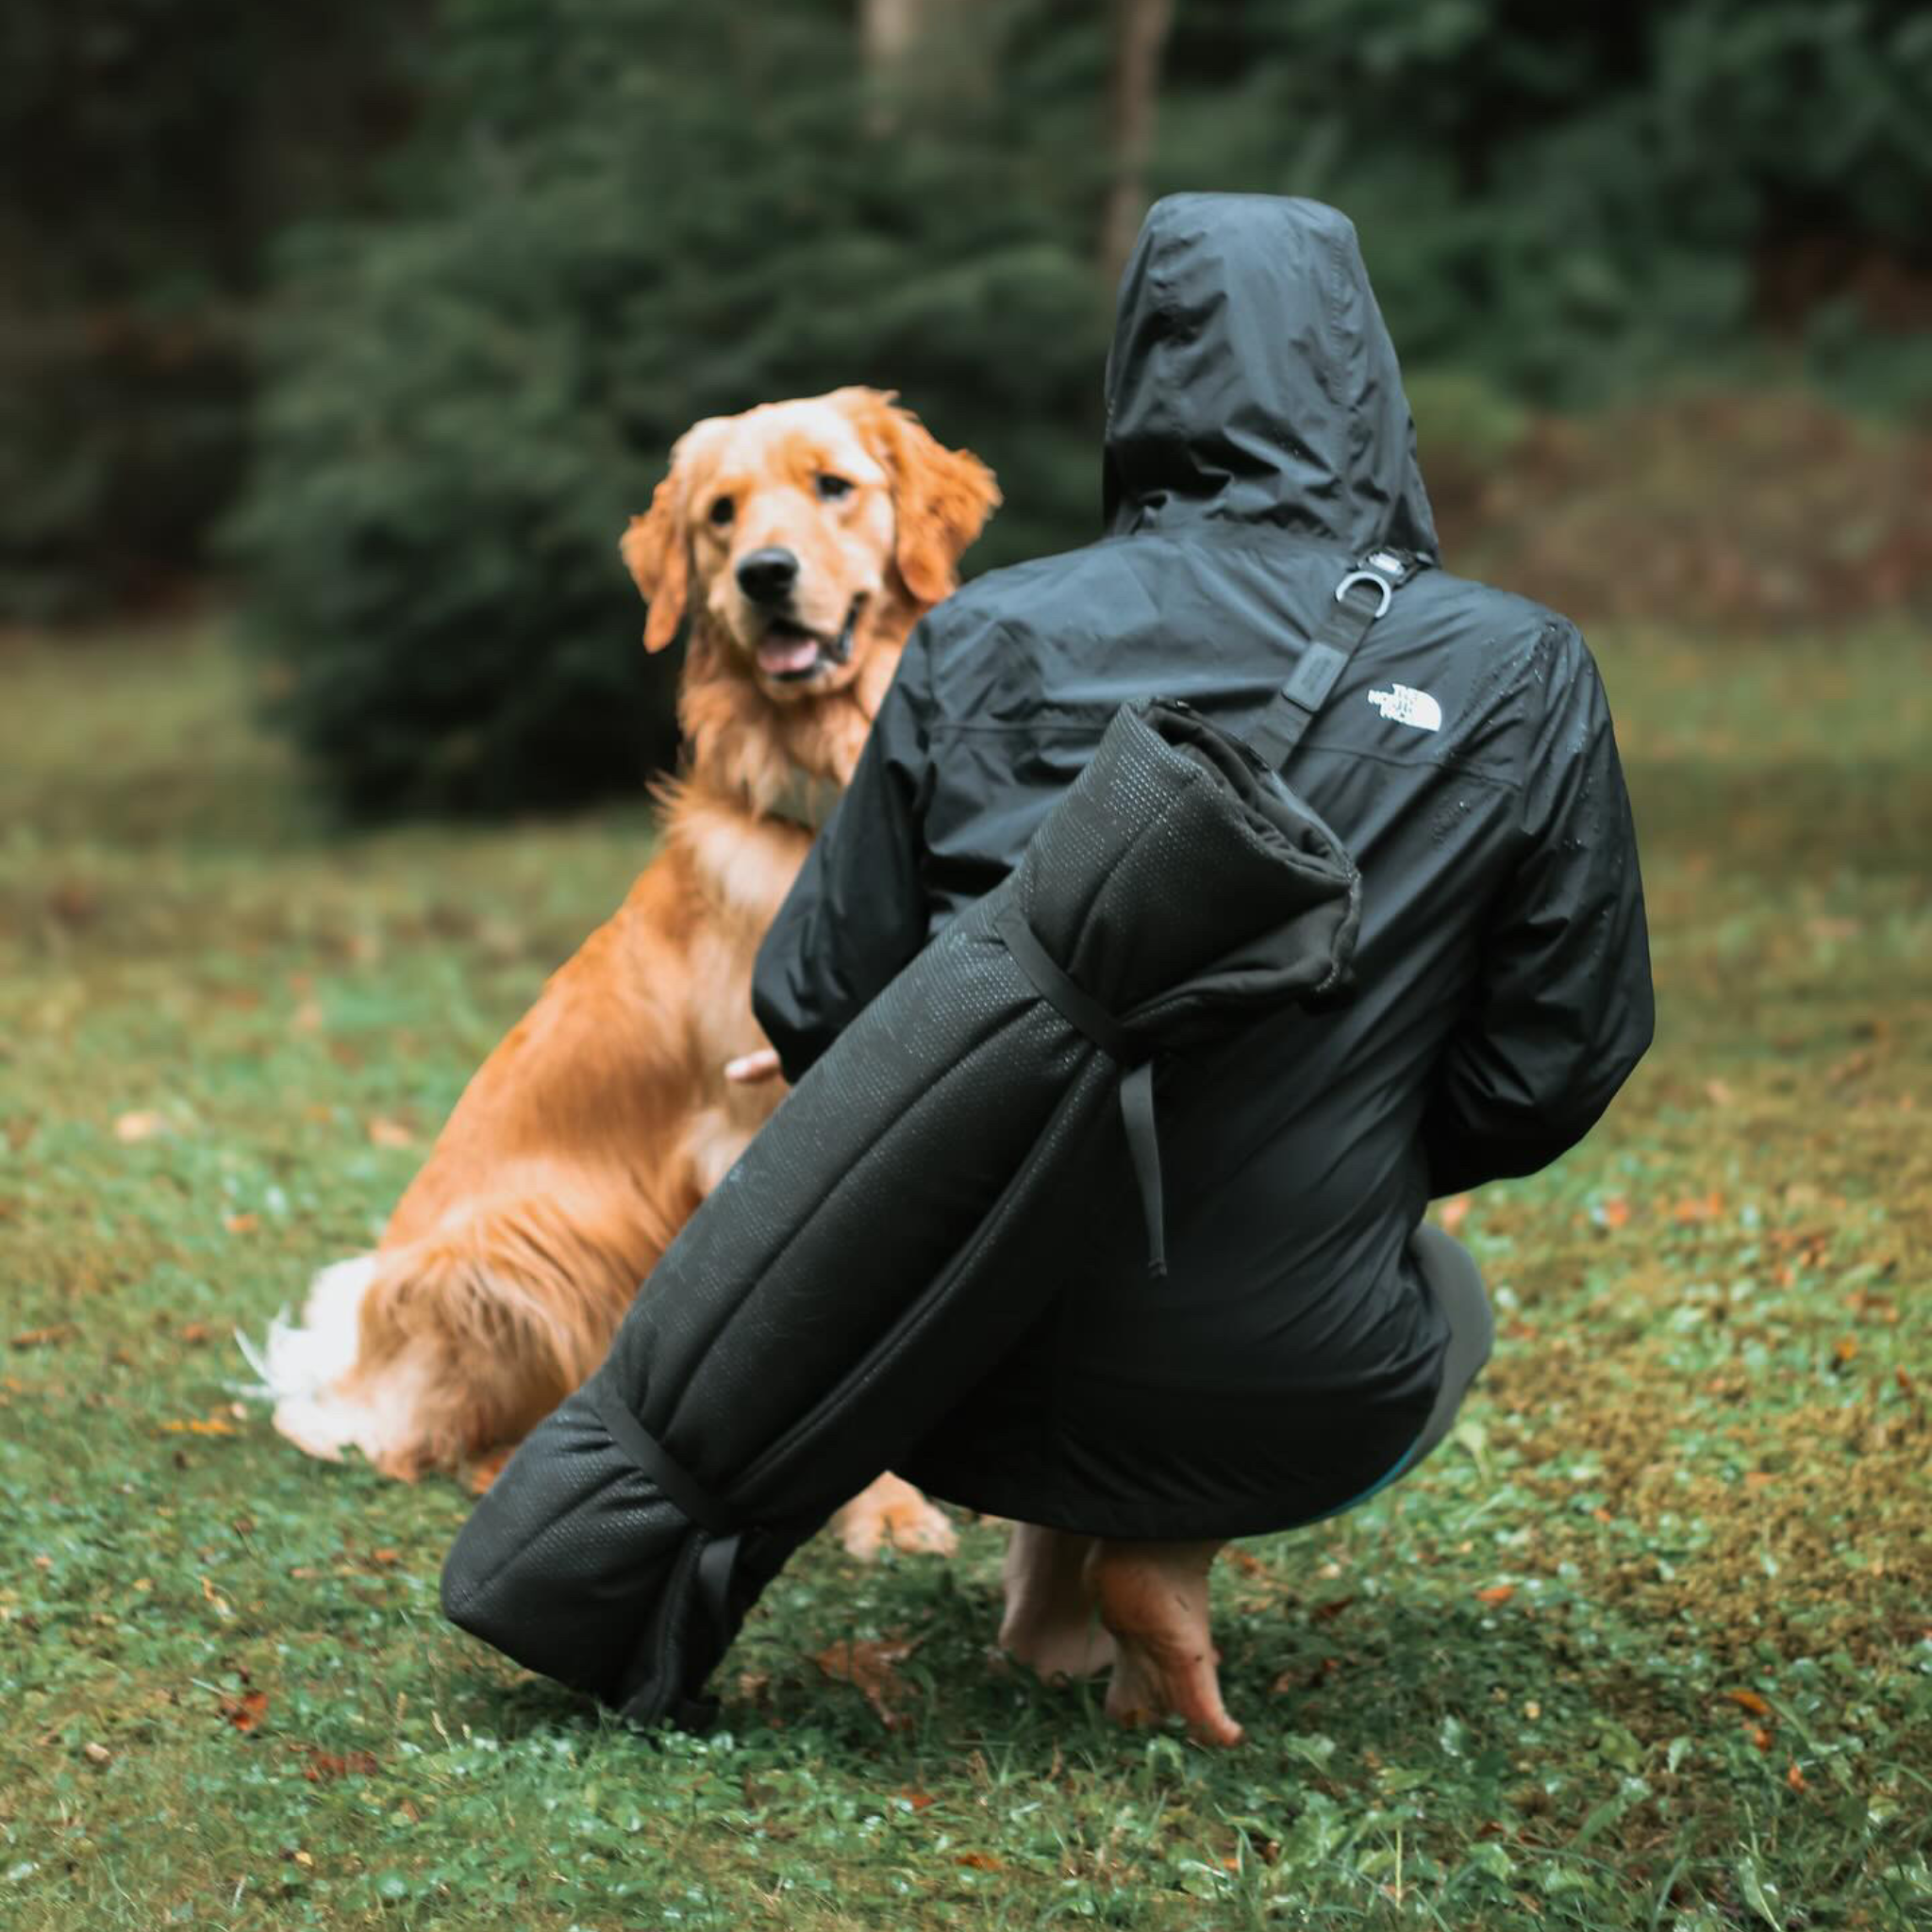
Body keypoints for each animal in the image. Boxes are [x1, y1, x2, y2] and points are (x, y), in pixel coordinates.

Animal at [253, 391, 996, 1553]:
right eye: (721, 514)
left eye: (833, 485)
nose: (765, 574)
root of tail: (354, 1372)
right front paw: (880, 1510)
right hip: (524, 1254)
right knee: (432, 1447)